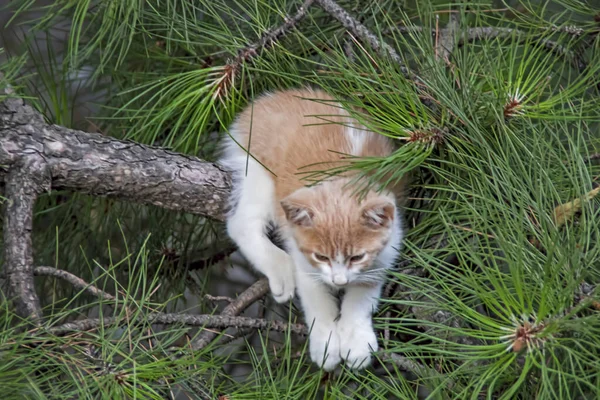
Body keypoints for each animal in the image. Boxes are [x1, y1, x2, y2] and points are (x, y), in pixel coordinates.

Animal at [220, 88, 404, 372]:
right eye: (321, 256)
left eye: (357, 257)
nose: (339, 281)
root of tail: (272, 98)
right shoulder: (305, 260)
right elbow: (316, 300)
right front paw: (326, 344)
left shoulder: (383, 255)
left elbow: (361, 299)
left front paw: (356, 340)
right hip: (258, 171)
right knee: (241, 223)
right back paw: (280, 270)